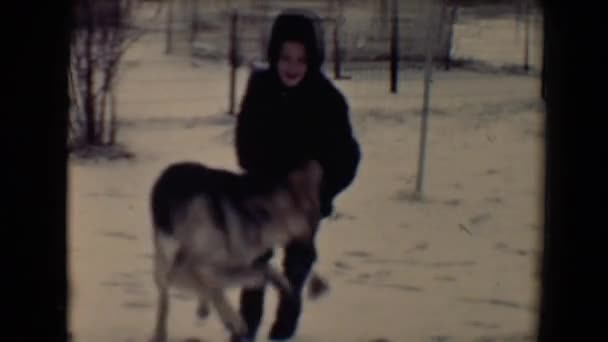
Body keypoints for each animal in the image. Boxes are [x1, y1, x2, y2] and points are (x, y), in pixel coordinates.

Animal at [150, 159, 326, 340]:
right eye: (314, 220)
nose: (314, 255)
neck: (262, 211)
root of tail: (171, 168)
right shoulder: (195, 266)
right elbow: (221, 285)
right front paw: (234, 320)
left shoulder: (233, 262)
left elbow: (263, 270)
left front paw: (282, 284)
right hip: (166, 264)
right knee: (166, 298)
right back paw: (161, 332)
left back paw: (204, 307)